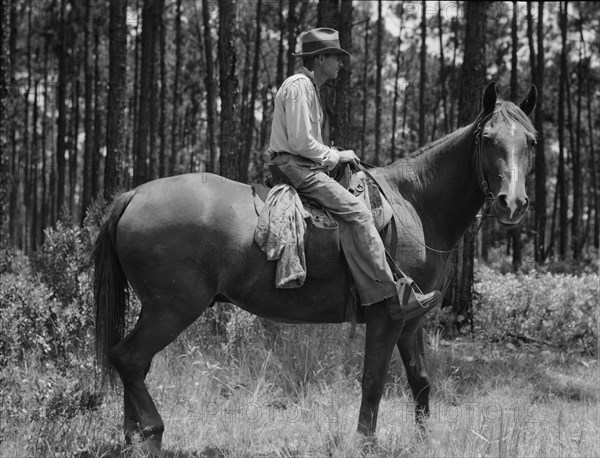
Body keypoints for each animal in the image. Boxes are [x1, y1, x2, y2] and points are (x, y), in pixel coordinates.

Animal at [95, 82, 540, 454]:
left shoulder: (411, 321)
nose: (513, 203)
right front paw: (364, 443)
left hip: (158, 308)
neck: (416, 205)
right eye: (488, 139)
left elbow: (421, 382)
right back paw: (152, 433)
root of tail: (134, 195)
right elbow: (374, 380)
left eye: (531, 141)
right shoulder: (387, 316)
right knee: (130, 358)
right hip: (172, 307)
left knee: (135, 363)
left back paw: (133, 436)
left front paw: (424, 440)